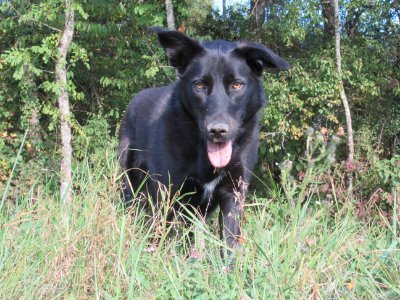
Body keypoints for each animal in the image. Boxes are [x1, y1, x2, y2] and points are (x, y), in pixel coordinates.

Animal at [119, 28, 290, 252]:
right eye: (199, 85)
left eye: (237, 84)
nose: (218, 131)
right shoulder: (167, 194)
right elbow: (161, 239)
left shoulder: (233, 194)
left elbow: (229, 244)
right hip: (131, 182)